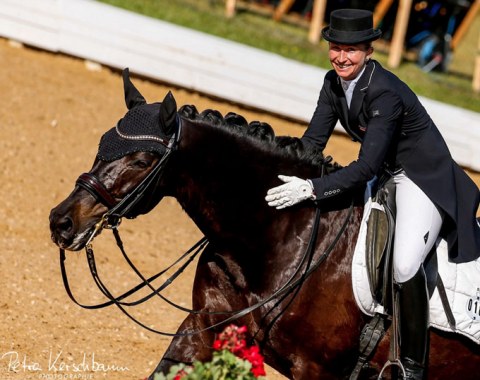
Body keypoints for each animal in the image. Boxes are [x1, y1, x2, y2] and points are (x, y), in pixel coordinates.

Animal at [49, 70, 480, 378]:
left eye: (141, 160)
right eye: (102, 142)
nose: (62, 222)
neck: (275, 237)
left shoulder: (315, 370)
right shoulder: (203, 326)